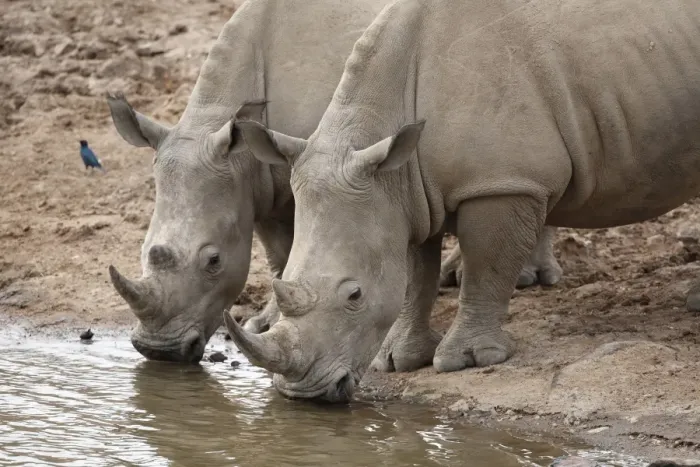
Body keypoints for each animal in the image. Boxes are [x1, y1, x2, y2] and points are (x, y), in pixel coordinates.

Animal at [224, 0, 700, 401]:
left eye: (354, 295)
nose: (302, 394)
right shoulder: (403, 191)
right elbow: (415, 274)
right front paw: (398, 361)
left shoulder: (504, 180)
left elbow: (487, 266)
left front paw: (467, 361)